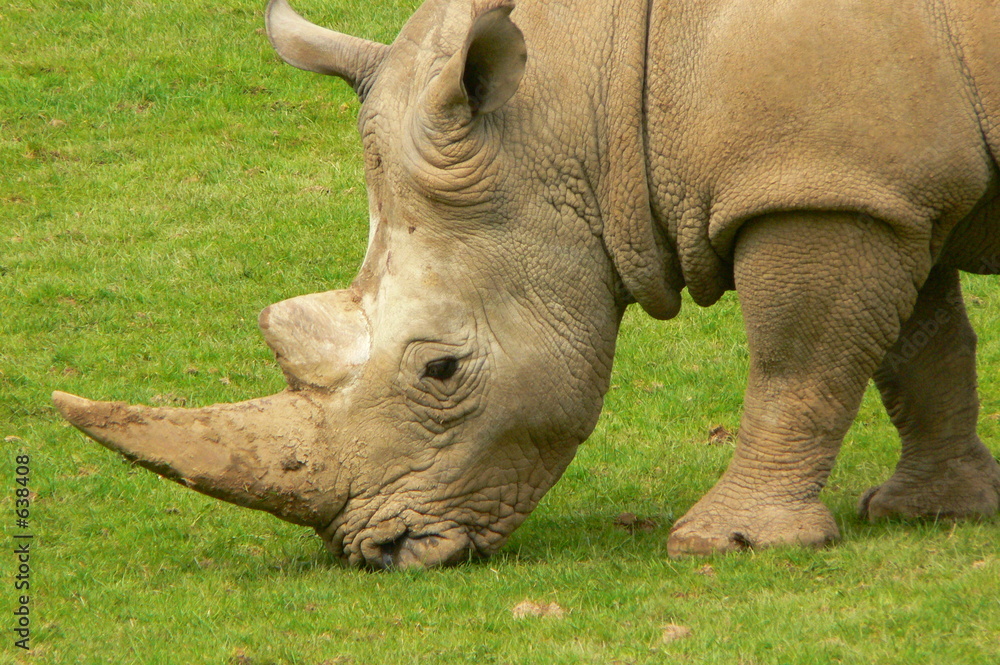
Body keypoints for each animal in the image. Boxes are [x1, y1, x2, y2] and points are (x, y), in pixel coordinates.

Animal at [54, 0, 1000, 568]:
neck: (595, 96)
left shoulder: (822, 185)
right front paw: (934, 512)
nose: (380, 551)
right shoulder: (880, 185)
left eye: (440, 370)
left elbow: (800, 362)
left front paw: (726, 544)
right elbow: (918, 349)